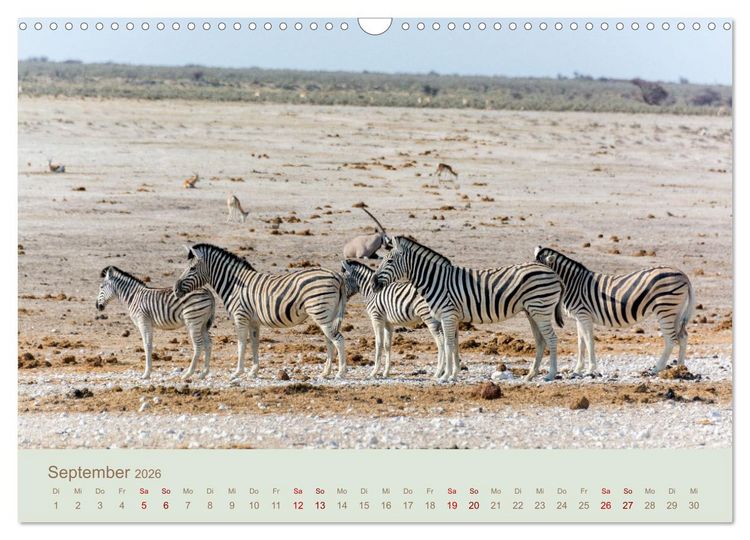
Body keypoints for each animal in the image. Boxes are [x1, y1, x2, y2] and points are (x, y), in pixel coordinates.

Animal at [173, 243, 348, 379]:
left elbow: (241, 344)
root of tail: (336, 276)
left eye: (192, 268)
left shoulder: (240, 317)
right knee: (329, 340)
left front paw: (237, 372)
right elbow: (254, 344)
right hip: (327, 313)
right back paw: (326, 372)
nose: (175, 289)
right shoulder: (253, 322)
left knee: (338, 339)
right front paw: (253, 371)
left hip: (320, 311)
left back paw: (341, 372)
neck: (234, 285)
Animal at [371, 236, 565, 382]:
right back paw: (530, 375)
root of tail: (551, 271)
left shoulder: (448, 315)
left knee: (552, 338)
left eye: (389, 260)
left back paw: (550, 375)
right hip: (532, 311)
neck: (435, 280)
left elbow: (448, 344)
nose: (373, 284)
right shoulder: (452, 317)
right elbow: (454, 344)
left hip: (541, 309)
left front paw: (445, 376)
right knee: (540, 341)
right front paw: (453, 374)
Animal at [534, 246, 695, 376]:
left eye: (540, 272)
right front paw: (577, 369)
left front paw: (590, 369)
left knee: (671, 339)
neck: (573, 284)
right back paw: (680, 369)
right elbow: (581, 343)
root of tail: (682, 274)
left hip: (665, 309)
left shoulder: (584, 315)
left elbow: (589, 341)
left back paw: (657, 368)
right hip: (676, 311)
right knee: (682, 336)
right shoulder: (579, 317)